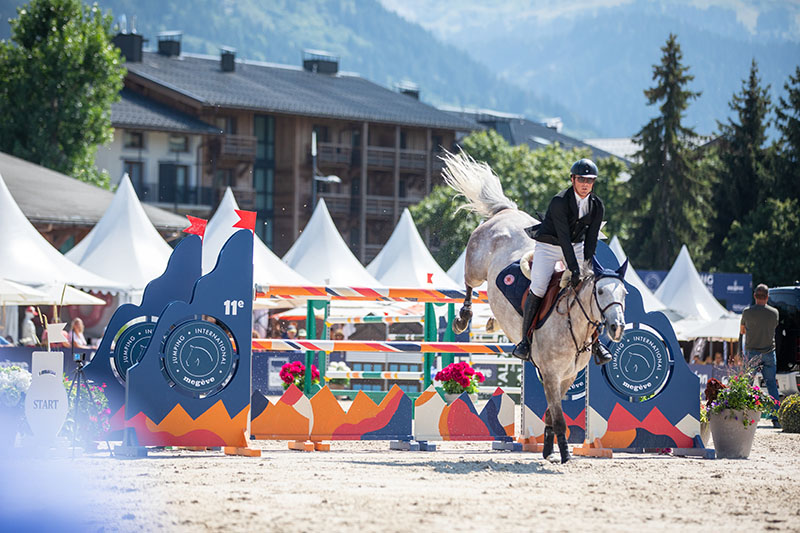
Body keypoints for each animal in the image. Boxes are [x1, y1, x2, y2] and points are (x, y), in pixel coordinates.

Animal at [444, 151, 624, 462]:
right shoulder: (551, 373)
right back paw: (463, 318)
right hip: (476, 264)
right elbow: (560, 418)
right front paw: (563, 454)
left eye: (624, 293)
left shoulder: (567, 376)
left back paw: (491, 321)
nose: (617, 327)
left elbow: (552, 414)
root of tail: (505, 212)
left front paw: (549, 448)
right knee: (469, 283)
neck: (573, 326)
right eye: (600, 291)